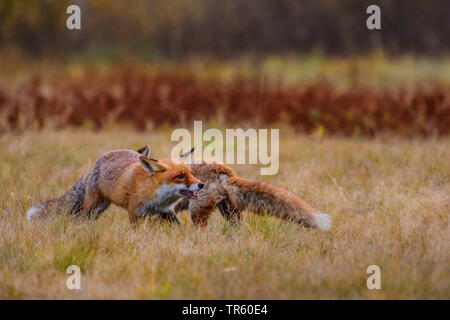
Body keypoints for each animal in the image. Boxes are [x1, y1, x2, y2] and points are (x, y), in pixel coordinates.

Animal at [26, 146, 204, 226]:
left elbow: (177, 226)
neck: (158, 196)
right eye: (180, 176)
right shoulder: (135, 214)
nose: (201, 184)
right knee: (84, 218)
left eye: (191, 173)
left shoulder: (166, 212)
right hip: (94, 207)